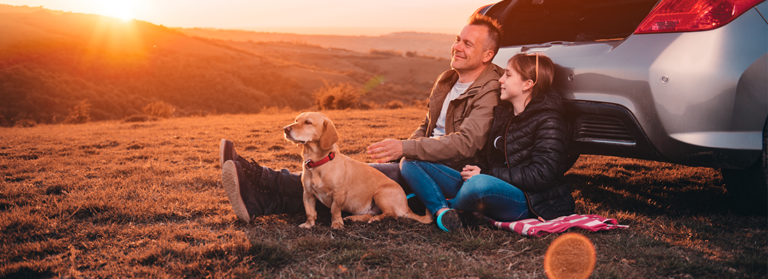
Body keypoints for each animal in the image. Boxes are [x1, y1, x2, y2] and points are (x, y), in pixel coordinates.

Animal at [284, 111, 436, 230]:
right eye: (296, 120)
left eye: (308, 122)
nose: (285, 128)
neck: (318, 163)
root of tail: (406, 206)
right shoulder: (308, 194)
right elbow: (310, 212)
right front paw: (309, 224)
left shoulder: (339, 194)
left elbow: (334, 210)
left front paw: (336, 224)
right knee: (371, 214)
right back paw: (355, 218)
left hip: (381, 194)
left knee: (391, 214)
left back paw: (375, 219)